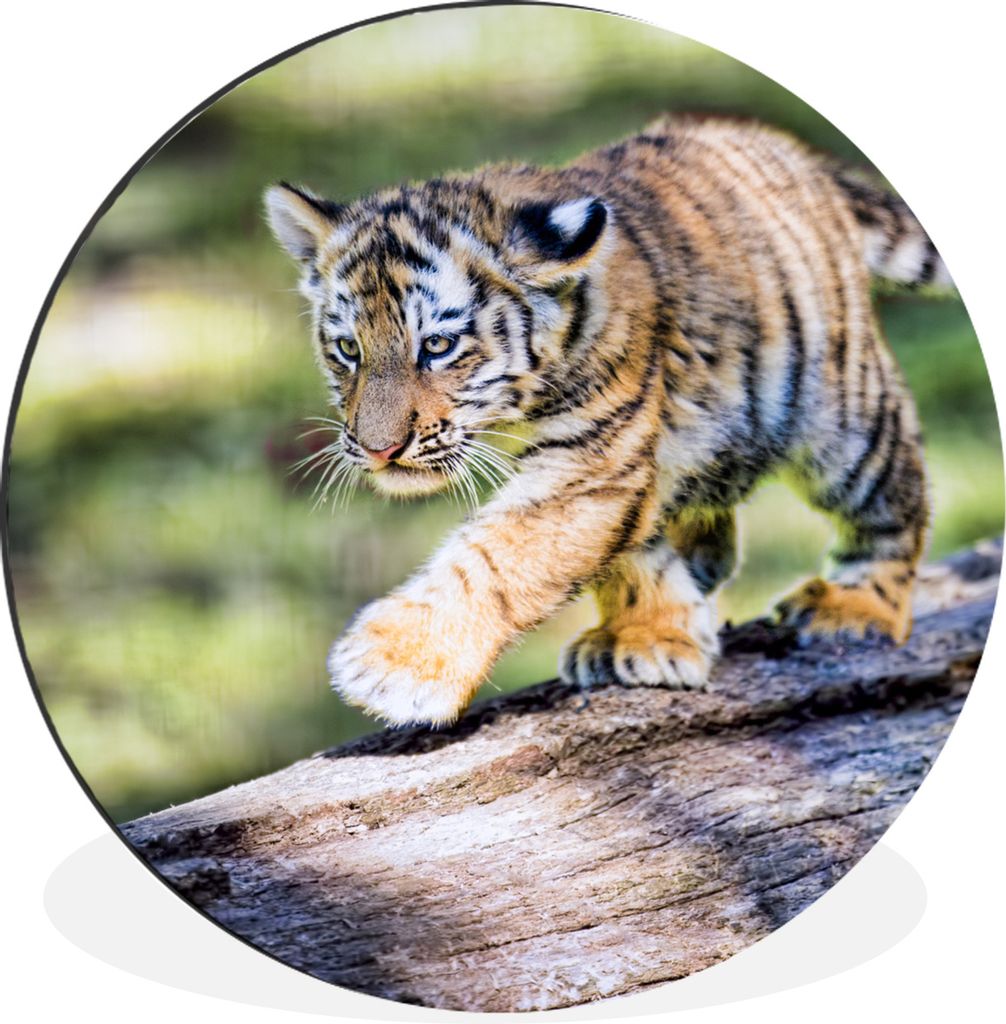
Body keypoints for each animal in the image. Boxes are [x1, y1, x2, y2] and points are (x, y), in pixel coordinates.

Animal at [265, 114, 946, 727]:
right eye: (348, 349)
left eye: (436, 346)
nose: (379, 450)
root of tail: (790, 151)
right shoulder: (624, 466)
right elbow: (630, 556)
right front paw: (645, 634)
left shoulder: (591, 461)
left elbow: (498, 556)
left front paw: (395, 666)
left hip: (842, 420)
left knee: (894, 503)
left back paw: (856, 608)